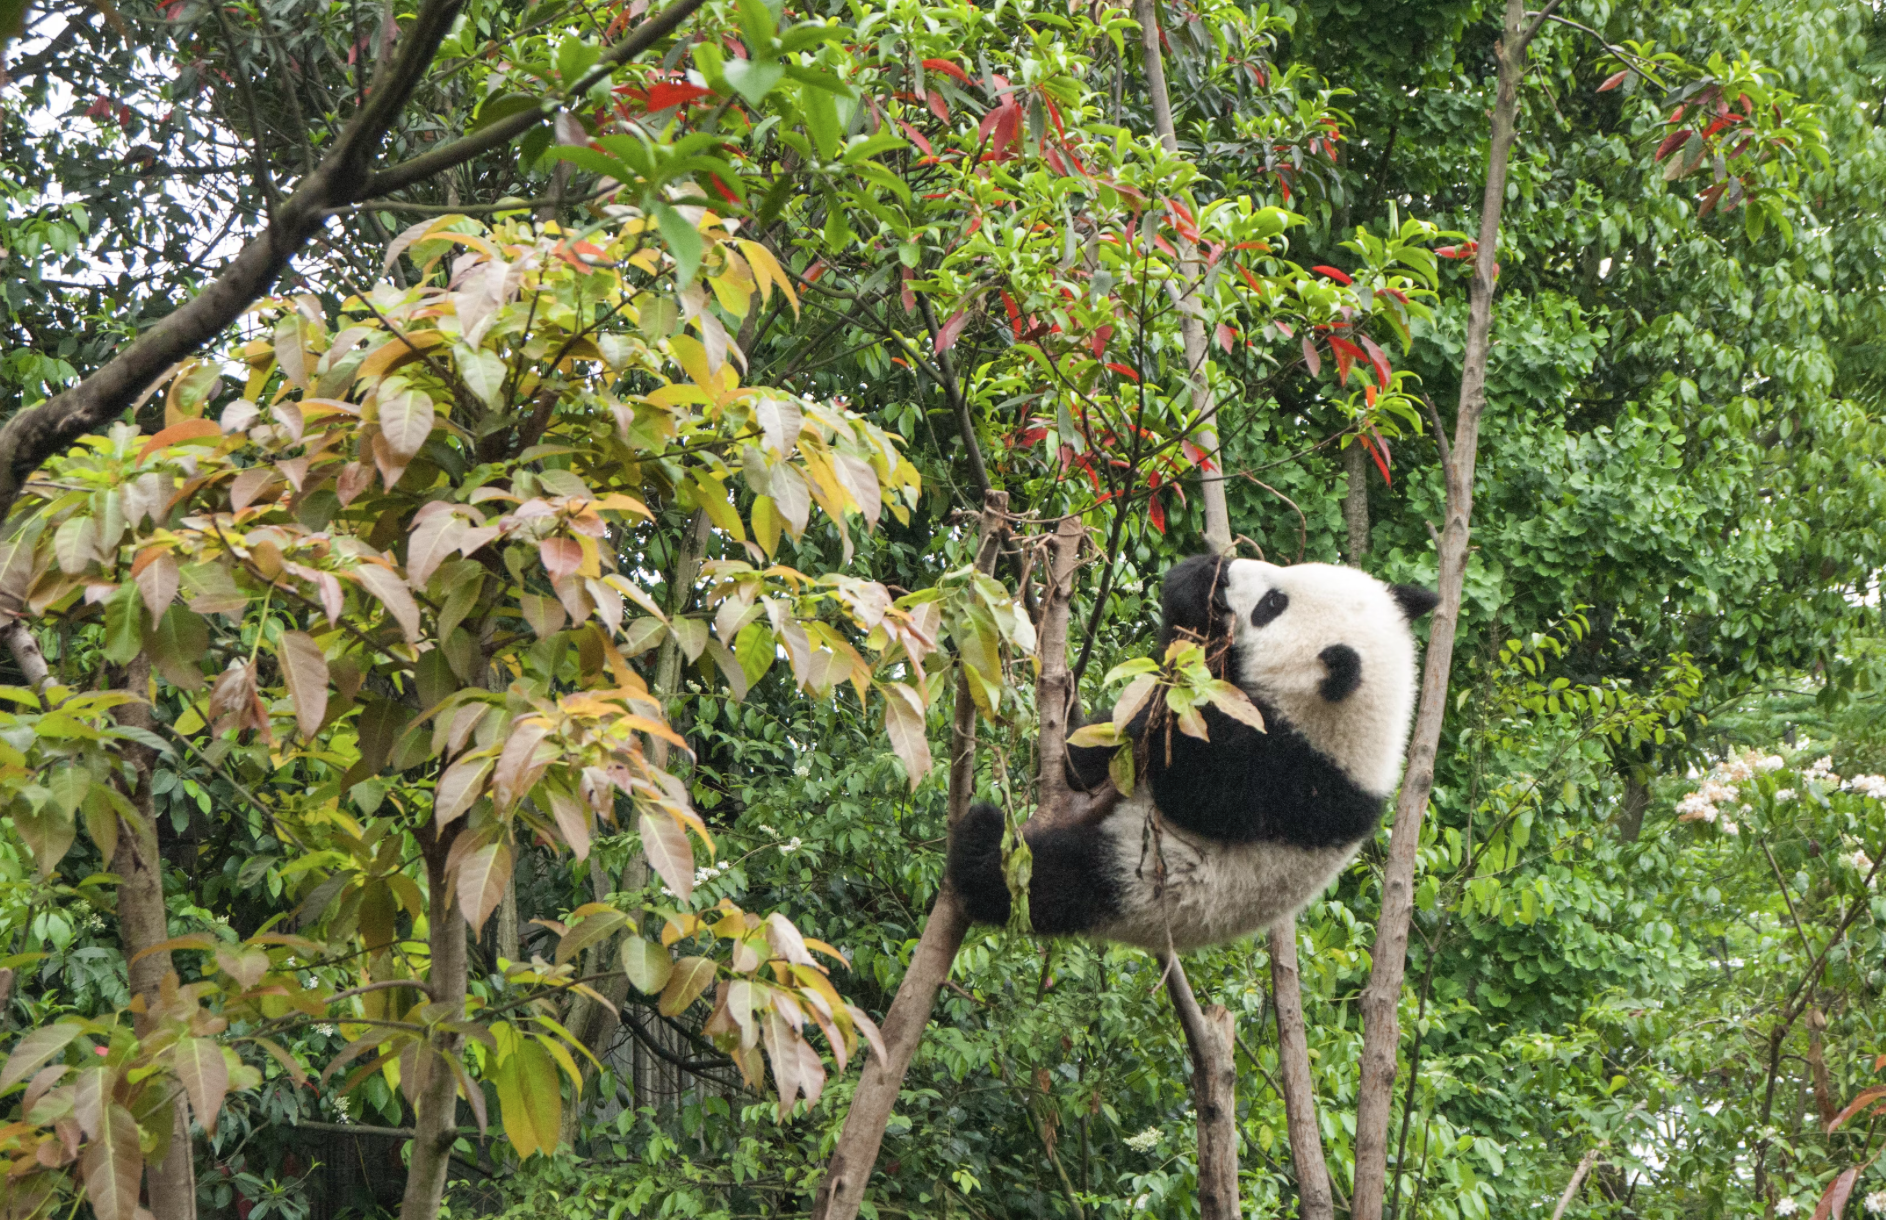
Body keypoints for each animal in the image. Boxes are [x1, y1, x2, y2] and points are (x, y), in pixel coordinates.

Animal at [950, 554, 1433, 954]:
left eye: (1273, 604)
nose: (1232, 570)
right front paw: (1196, 582)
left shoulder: (1294, 780)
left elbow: (1194, 785)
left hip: (1141, 883)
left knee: (1051, 882)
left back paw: (980, 844)